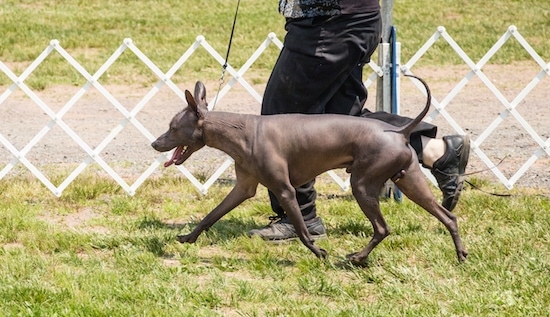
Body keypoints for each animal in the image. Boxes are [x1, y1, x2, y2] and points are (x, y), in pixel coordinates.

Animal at [153, 76, 468, 264]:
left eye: (172, 128)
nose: (155, 143)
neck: (241, 132)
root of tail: (400, 131)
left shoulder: (285, 191)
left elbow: (304, 232)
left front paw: (319, 253)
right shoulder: (243, 188)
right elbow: (210, 215)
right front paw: (188, 238)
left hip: (362, 185)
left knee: (382, 228)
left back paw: (357, 258)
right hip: (410, 182)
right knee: (448, 216)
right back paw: (461, 254)